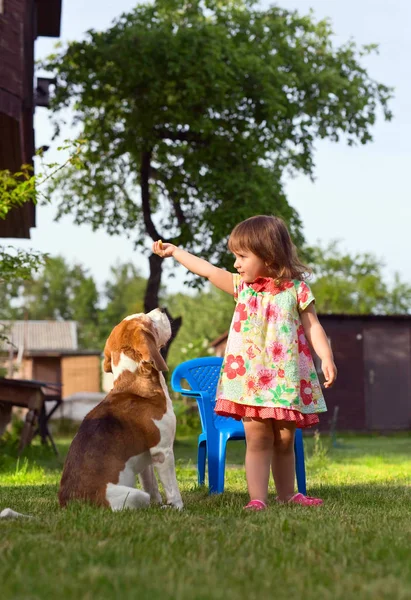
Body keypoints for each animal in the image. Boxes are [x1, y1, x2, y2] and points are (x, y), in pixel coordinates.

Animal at [58, 310, 184, 510]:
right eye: (149, 320)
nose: (162, 310)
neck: (135, 381)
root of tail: (69, 503)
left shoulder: (147, 460)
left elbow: (152, 486)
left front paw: (159, 504)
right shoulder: (162, 451)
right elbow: (172, 488)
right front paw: (178, 508)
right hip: (135, 495)